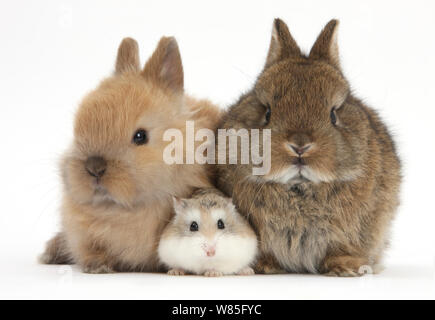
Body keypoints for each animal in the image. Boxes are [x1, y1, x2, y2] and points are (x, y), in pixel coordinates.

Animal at [217, 18, 402, 276]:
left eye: (333, 114)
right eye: (267, 112)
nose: (300, 146)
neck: (300, 187)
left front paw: (349, 267)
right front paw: (264, 265)